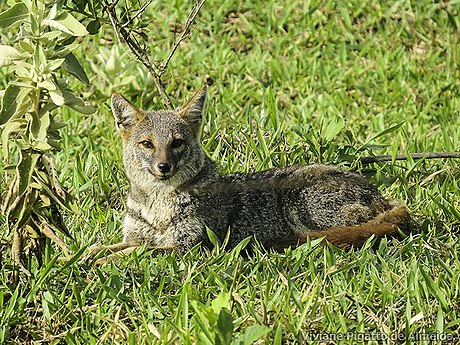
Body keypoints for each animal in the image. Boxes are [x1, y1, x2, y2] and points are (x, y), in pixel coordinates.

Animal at [91, 84, 412, 260]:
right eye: (147, 144)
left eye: (176, 143)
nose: (163, 167)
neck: (157, 206)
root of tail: (379, 195)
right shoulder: (136, 236)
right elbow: (107, 247)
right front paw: (85, 257)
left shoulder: (191, 246)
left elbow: (139, 252)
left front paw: (102, 264)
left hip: (300, 204)